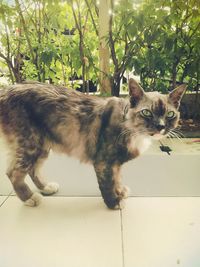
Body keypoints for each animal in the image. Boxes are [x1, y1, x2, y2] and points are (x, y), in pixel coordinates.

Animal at [0, 79, 186, 209]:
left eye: (170, 114)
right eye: (146, 112)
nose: (160, 126)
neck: (130, 127)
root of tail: (6, 90)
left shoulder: (115, 163)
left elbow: (117, 177)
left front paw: (120, 191)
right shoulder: (103, 161)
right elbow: (108, 183)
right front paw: (114, 202)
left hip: (42, 145)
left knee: (33, 168)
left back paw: (45, 187)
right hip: (30, 142)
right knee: (13, 173)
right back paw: (29, 198)